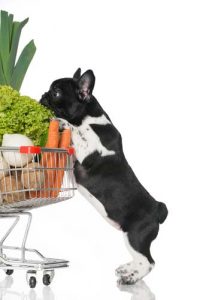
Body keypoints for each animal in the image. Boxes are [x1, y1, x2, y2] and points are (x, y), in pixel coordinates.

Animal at [39, 69, 168, 284]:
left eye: (56, 92)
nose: (43, 95)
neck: (89, 119)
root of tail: (157, 208)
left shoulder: (88, 150)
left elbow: (76, 131)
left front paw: (63, 123)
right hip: (129, 235)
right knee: (141, 259)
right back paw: (127, 269)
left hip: (135, 235)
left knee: (149, 261)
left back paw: (132, 277)